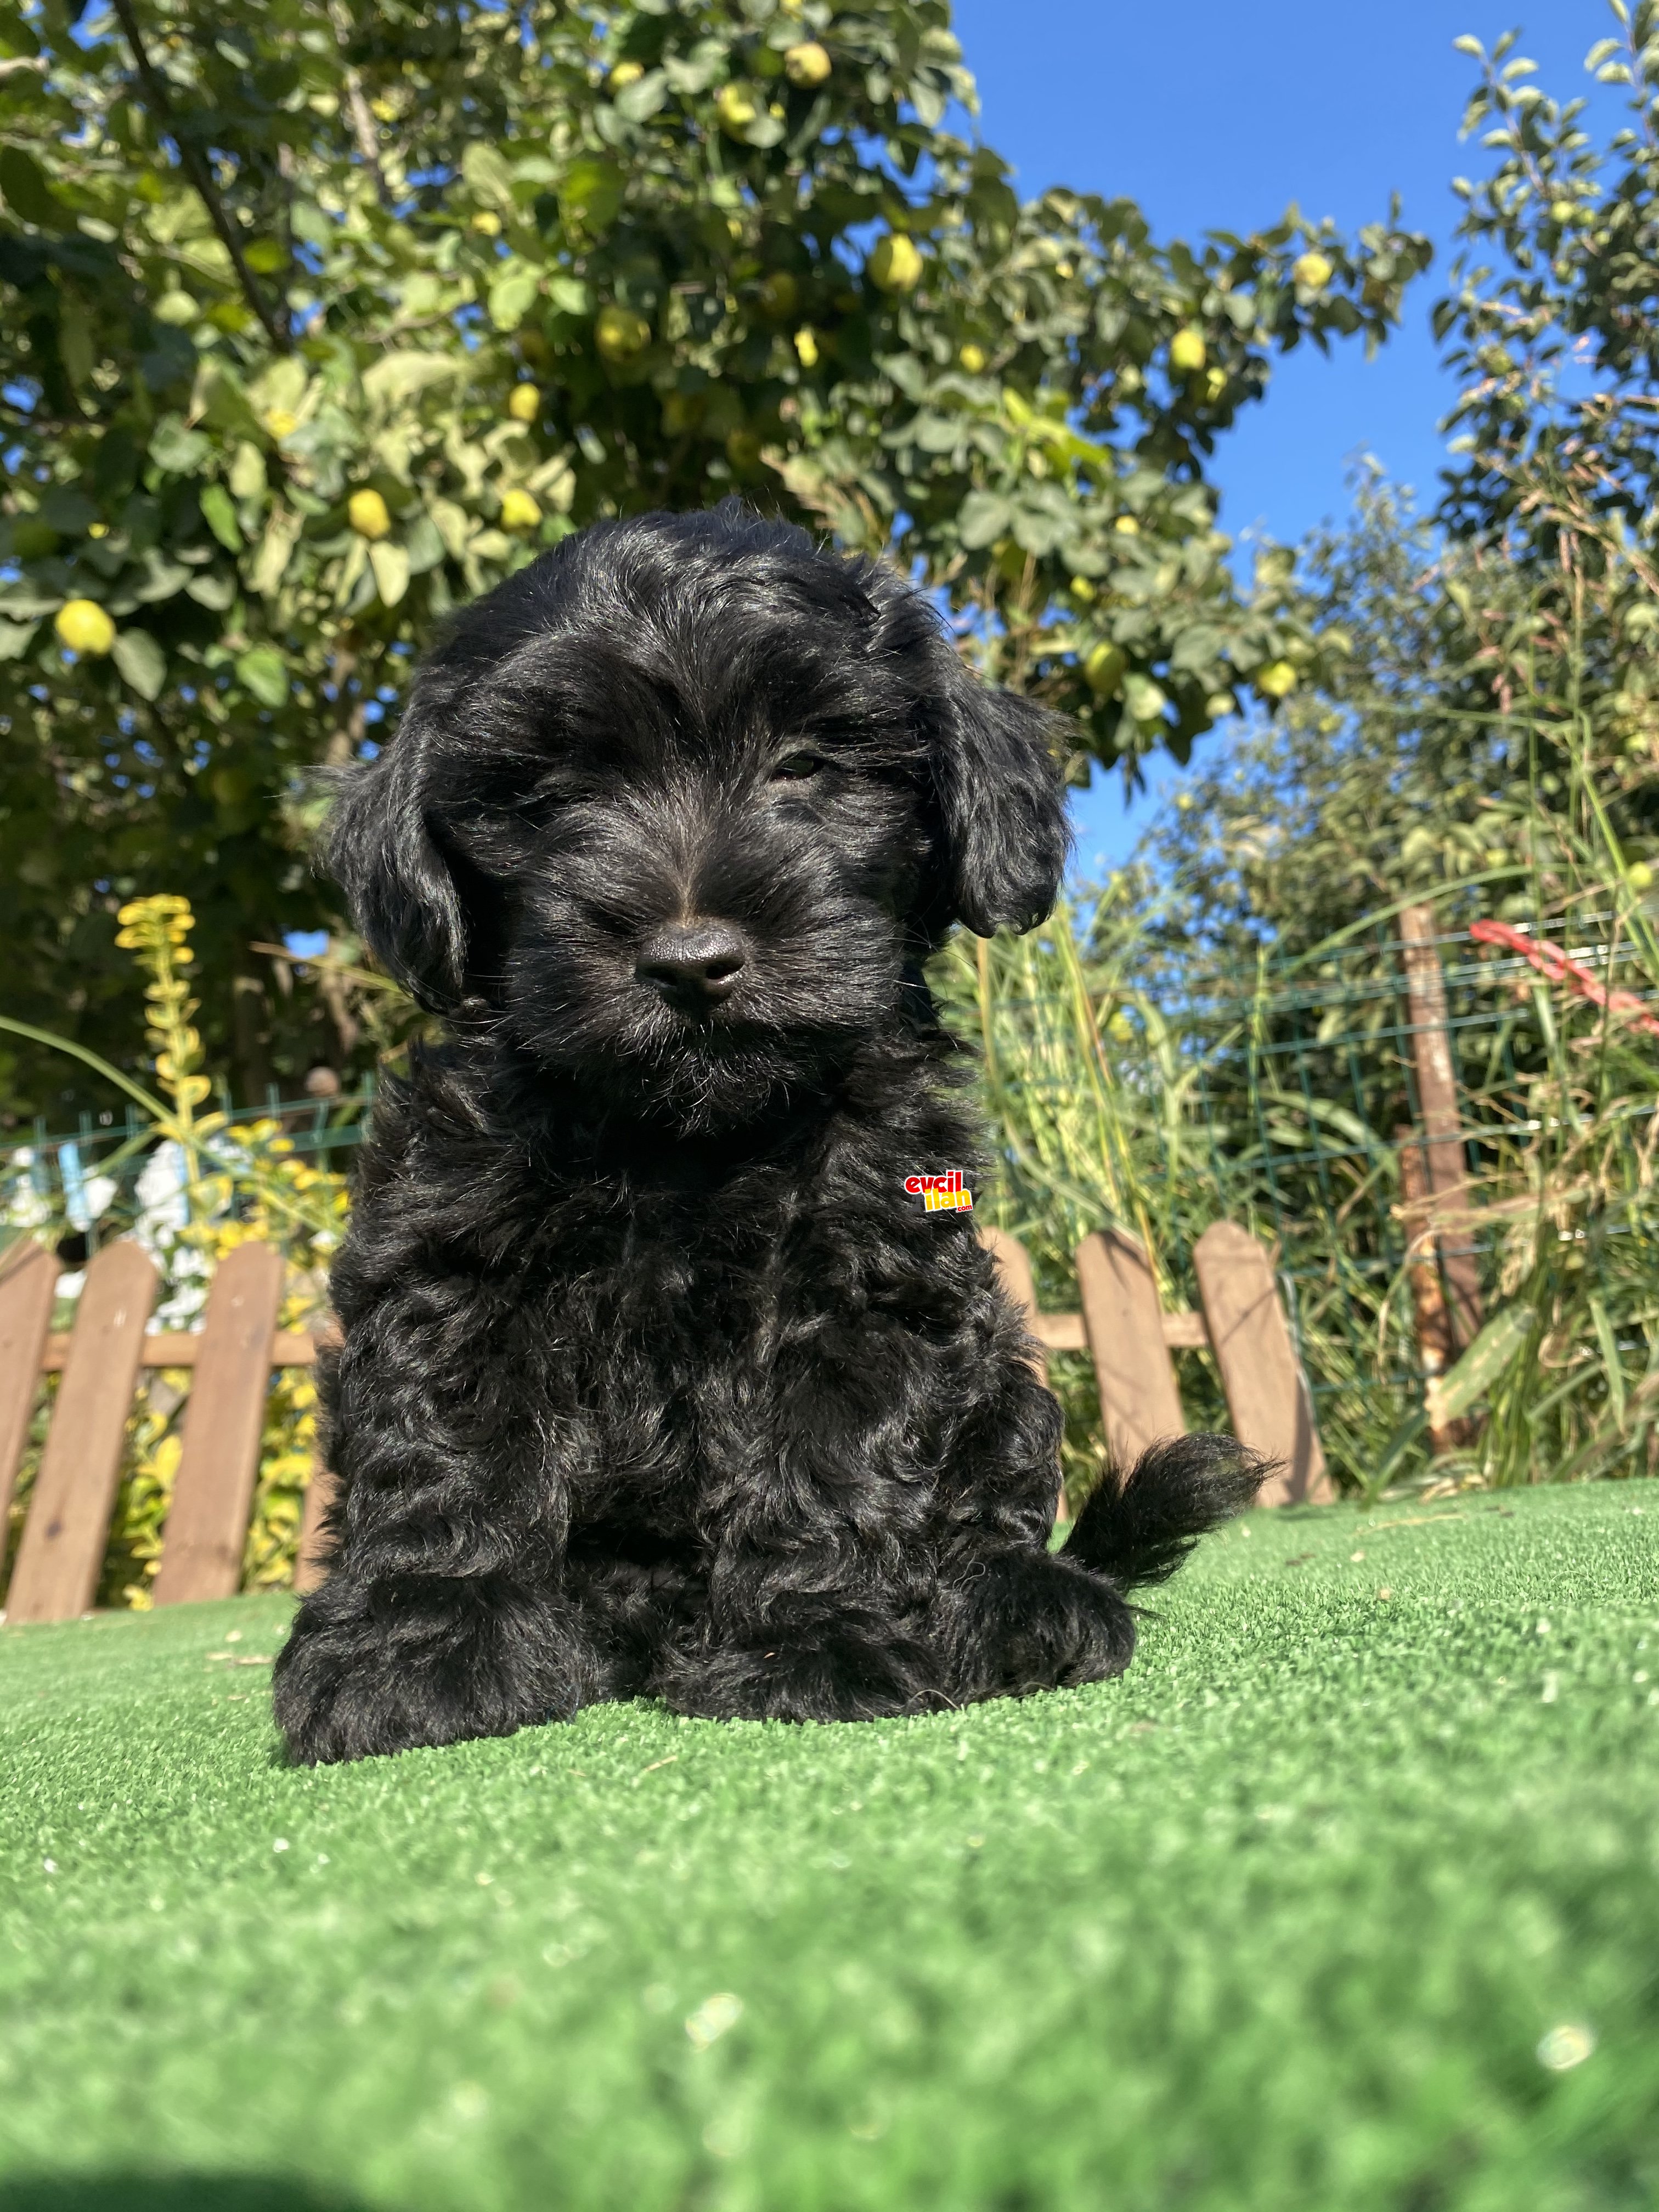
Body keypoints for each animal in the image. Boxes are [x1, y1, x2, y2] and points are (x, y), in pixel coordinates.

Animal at [273, 502, 1256, 1760]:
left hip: (1003, 1369)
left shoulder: (859, 1281)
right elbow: (443, 1451)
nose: (691, 961)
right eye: (549, 802)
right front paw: (416, 1648)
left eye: (807, 767)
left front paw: (814, 1643)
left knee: (993, 1492)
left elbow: (829, 1458)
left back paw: (1018, 1603)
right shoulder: (453, 1254)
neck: (684, 1138)